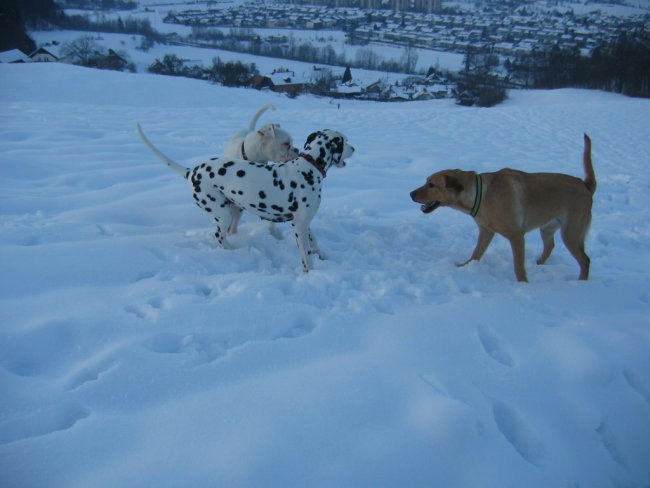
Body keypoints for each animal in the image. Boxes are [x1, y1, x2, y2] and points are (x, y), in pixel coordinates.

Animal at [136, 124, 354, 272]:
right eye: (344, 141)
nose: (355, 148)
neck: (308, 167)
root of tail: (192, 171)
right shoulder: (299, 225)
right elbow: (306, 257)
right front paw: (311, 275)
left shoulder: (304, 222)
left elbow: (314, 241)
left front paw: (322, 256)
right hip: (222, 212)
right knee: (219, 236)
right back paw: (231, 251)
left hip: (233, 210)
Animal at [408, 135, 596, 284]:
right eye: (426, 181)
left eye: (431, 185)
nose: (410, 194)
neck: (481, 194)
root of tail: (585, 185)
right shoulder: (486, 231)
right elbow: (476, 253)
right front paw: (464, 266)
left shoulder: (516, 235)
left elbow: (518, 266)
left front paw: (523, 285)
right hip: (548, 227)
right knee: (550, 246)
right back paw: (540, 263)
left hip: (571, 232)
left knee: (585, 260)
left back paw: (581, 283)